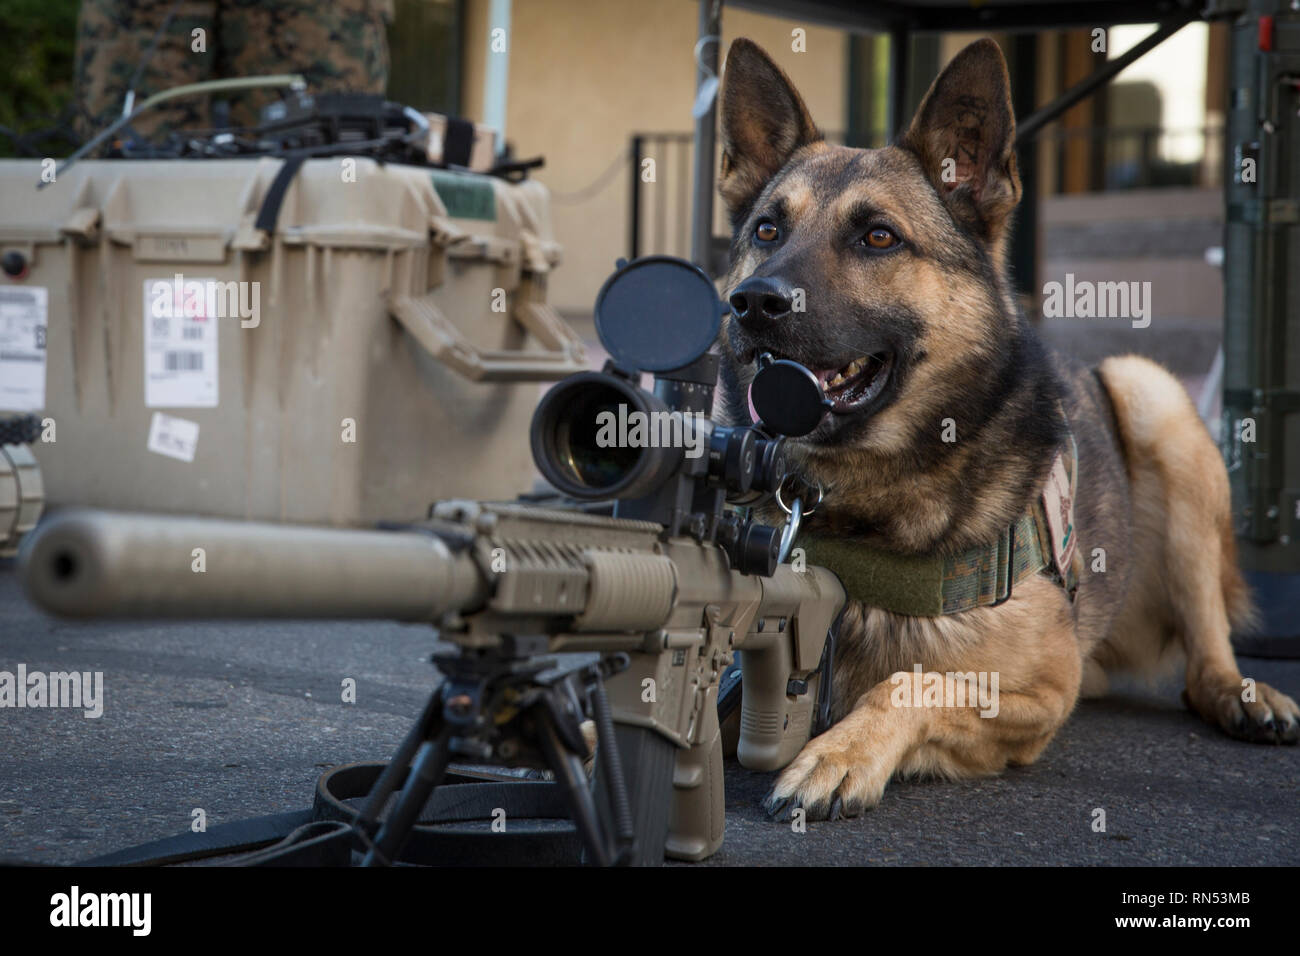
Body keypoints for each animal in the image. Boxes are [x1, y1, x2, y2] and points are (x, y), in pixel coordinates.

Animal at [717, 39, 1294, 822]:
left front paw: (839, 755)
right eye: (767, 231)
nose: (752, 303)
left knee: (1204, 653)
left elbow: (912, 681)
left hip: (1153, 396)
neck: (856, 505)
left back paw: (1243, 694)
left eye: (878, 237)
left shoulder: (1044, 692)